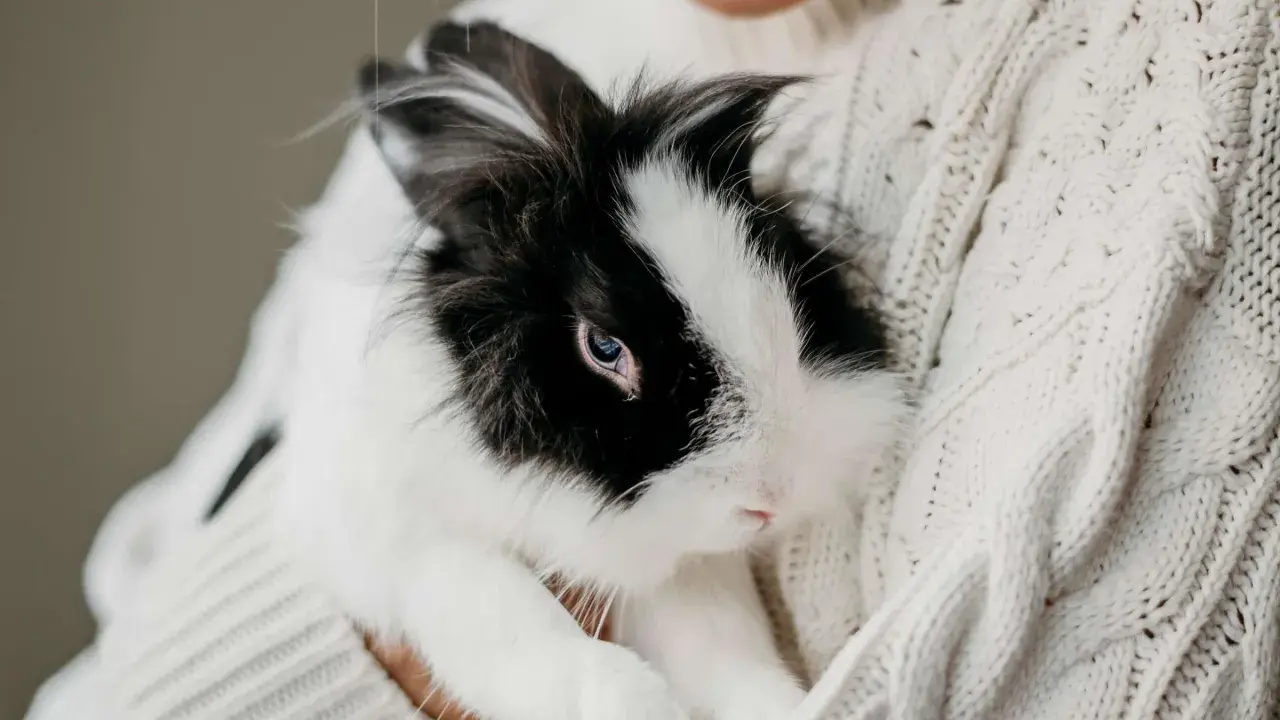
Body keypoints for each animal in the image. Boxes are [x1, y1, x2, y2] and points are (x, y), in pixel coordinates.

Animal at [271, 19, 907, 720]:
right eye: (604, 348)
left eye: (783, 261)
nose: (769, 500)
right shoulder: (403, 535)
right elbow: (507, 614)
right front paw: (634, 701)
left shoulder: (684, 568)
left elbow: (721, 648)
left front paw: (781, 705)